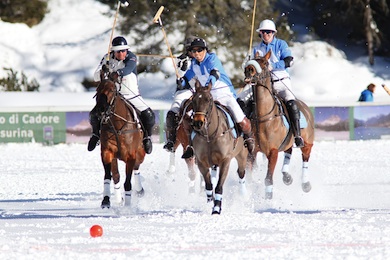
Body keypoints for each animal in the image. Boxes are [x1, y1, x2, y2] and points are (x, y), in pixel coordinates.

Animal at [94, 71, 146, 209]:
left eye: (112, 90)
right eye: (97, 89)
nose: (100, 110)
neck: (118, 127)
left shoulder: (130, 156)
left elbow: (127, 182)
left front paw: (127, 207)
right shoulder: (107, 152)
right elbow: (110, 176)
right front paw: (106, 201)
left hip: (141, 153)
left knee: (137, 167)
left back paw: (139, 190)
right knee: (117, 175)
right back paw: (118, 199)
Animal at [190, 80, 248, 214]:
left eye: (208, 99)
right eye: (193, 100)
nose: (198, 123)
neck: (210, 135)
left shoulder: (225, 160)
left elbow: (219, 186)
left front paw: (216, 208)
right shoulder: (201, 162)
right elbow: (209, 185)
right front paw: (210, 203)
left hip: (242, 155)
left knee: (241, 173)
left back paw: (244, 196)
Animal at [245, 51, 316, 200]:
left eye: (265, 63)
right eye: (252, 59)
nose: (248, 69)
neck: (262, 116)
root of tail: (305, 107)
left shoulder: (272, 152)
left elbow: (268, 178)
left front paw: (268, 198)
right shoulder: (252, 151)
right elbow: (248, 177)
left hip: (307, 142)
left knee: (305, 158)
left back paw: (305, 184)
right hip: (288, 141)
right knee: (288, 151)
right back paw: (287, 177)